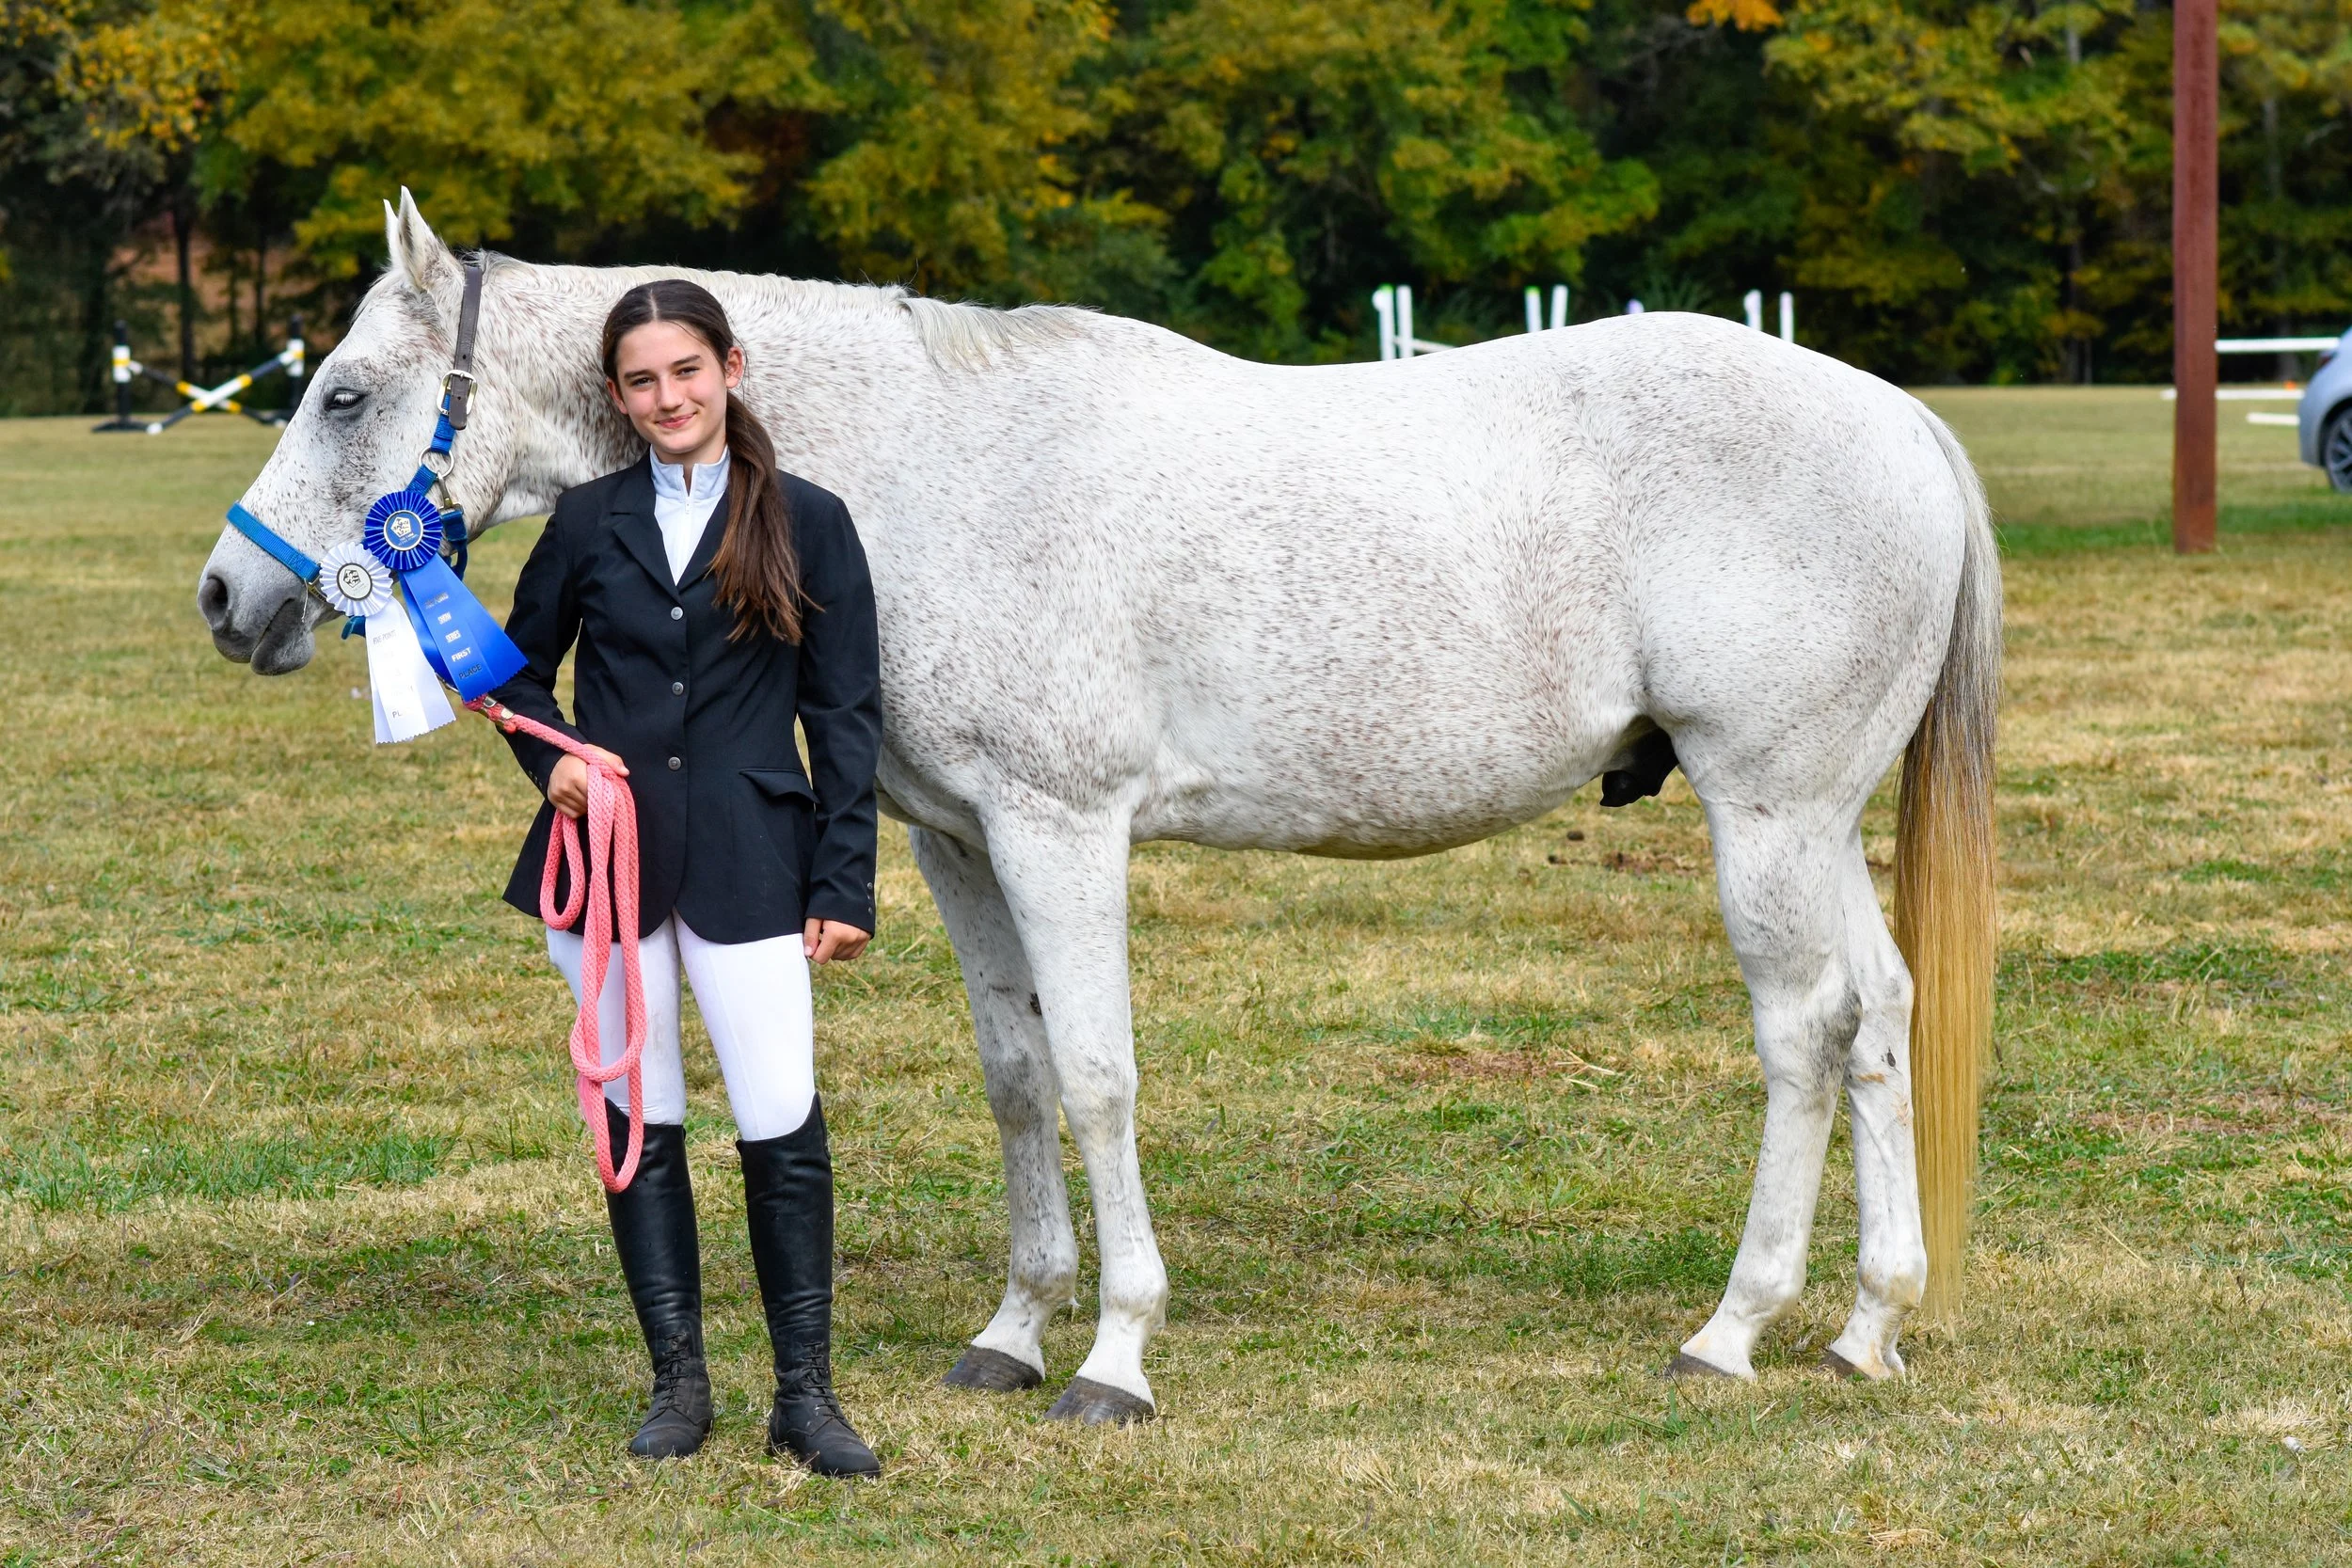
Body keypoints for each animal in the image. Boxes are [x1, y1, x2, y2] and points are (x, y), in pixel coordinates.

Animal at [198, 192, 1996, 1424]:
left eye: (343, 393)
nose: (229, 598)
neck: (923, 462)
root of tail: (1901, 417)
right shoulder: (959, 841)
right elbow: (1015, 1075)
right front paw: (1012, 1328)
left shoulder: (1062, 829)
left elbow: (1101, 1074)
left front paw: (1117, 1355)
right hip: (1816, 822)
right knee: (1883, 1015)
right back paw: (1868, 1322)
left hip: (1763, 814)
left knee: (1801, 1033)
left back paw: (1732, 1327)